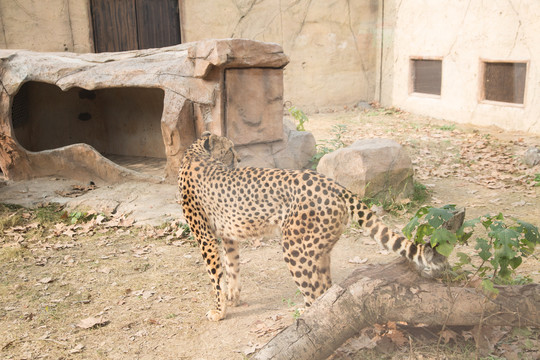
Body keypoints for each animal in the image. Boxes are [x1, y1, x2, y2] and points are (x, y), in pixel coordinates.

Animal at [178, 131, 448, 320]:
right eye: (230, 149)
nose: (240, 158)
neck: (195, 154)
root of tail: (334, 184)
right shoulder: (227, 237)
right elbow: (232, 267)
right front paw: (232, 298)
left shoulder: (206, 239)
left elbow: (215, 277)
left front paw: (219, 311)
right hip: (318, 249)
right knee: (327, 291)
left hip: (295, 249)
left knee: (314, 291)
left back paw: (302, 321)